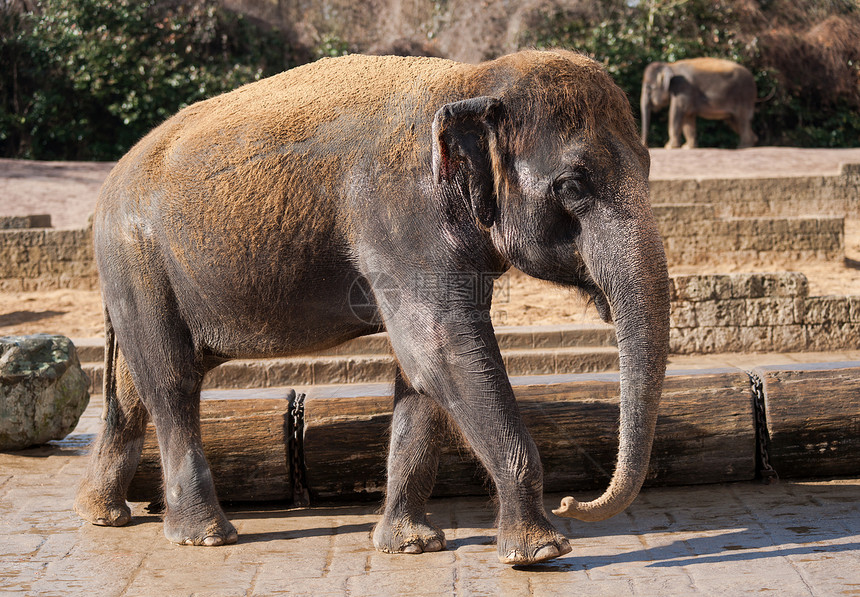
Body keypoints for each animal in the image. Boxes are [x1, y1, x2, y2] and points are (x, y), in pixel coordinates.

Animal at [74, 50, 672, 564]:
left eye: (648, 165)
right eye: (571, 186)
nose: (576, 502)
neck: (470, 81)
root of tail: (110, 181)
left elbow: (423, 372)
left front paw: (410, 545)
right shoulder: (399, 215)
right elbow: (442, 351)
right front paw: (542, 552)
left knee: (134, 385)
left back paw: (102, 514)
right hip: (137, 260)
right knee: (171, 381)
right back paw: (204, 536)